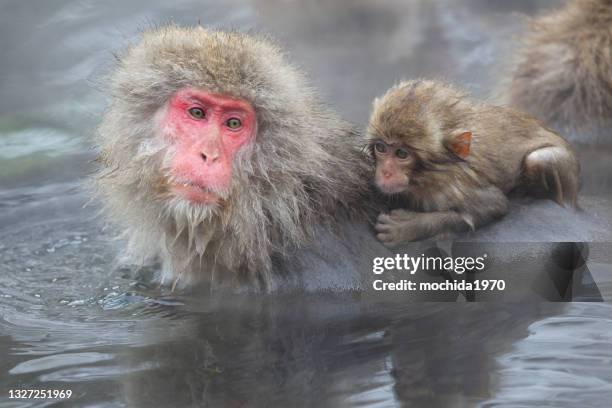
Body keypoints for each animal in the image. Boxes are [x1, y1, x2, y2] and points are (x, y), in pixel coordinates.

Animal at [366, 79, 580, 245]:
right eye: (381, 148)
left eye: (402, 154)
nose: (385, 172)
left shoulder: (456, 186)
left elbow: (492, 205)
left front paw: (406, 226)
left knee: (540, 159)